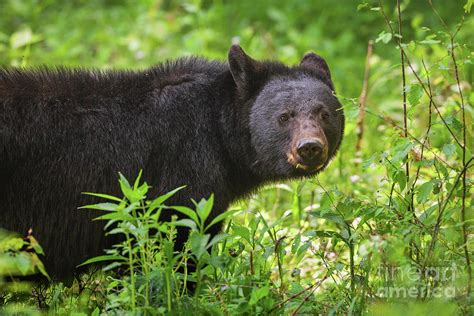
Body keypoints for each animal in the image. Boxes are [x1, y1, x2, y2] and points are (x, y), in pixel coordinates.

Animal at [0, 45, 342, 278]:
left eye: (324, 113)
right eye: (284, 117)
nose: (309, 148)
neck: (218, 131)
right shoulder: (181, 171)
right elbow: (178, 246)